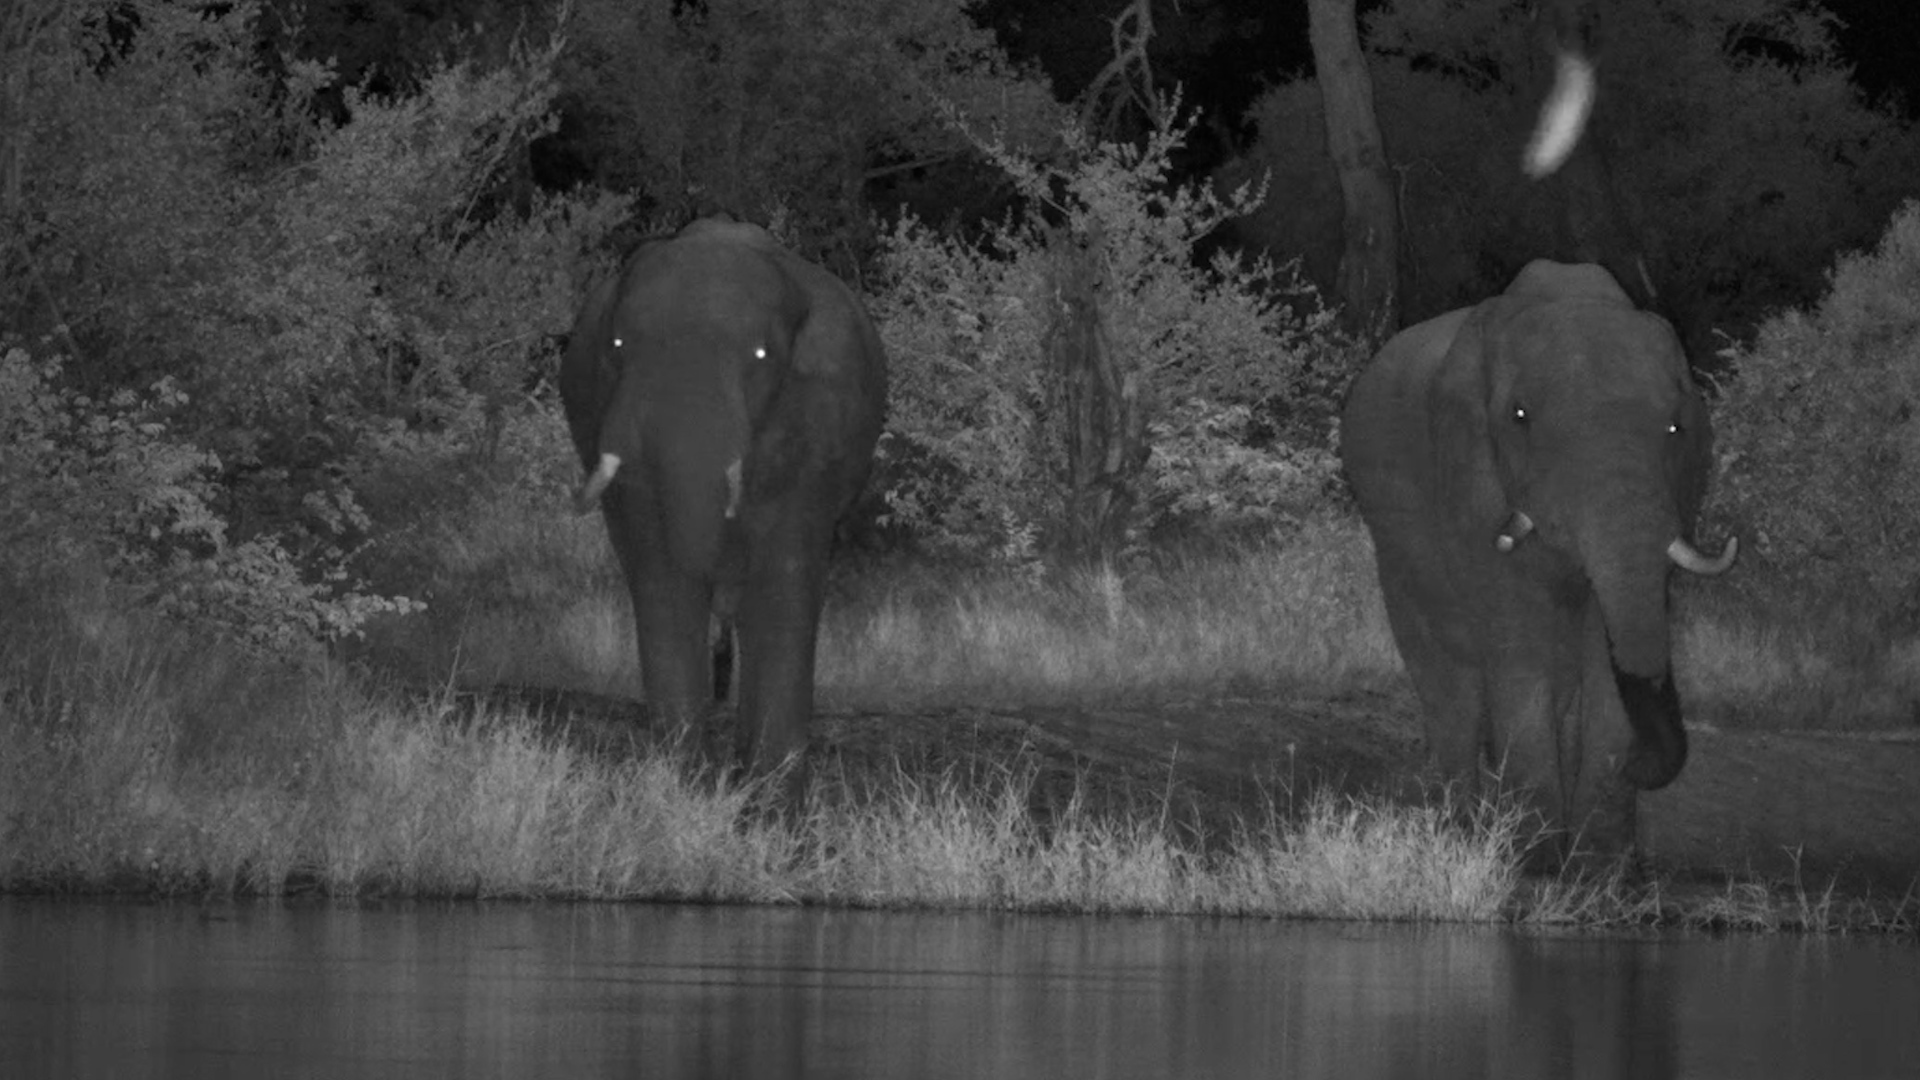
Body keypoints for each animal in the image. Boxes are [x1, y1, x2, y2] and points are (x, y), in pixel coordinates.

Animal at [559, 216, 887, 777]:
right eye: (618, 345)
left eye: (760, 356)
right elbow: (660, 575)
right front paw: (680, 785)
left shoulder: (813, 427)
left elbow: (785, 576)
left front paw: (768, 795)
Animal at [1340, 260, 1735, 858]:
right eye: (1519, 416)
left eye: (1676, 428)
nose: (1640, 765)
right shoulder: (1470, 474)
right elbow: (1517, 640)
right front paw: (1534, 856)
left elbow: (1602, 647)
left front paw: (1602, 862)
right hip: (1394, 538)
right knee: (1449, 679)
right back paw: (1462, 826)